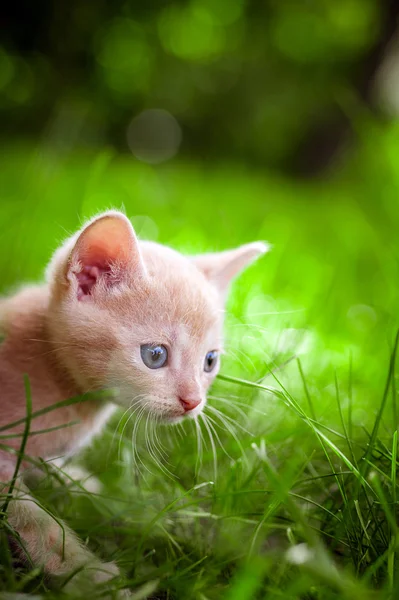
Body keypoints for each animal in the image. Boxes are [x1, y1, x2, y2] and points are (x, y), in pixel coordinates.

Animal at [0, 210, 268, 592]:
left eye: (210, 361)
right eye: (155, 355)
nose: (193, 401)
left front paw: (100, 493)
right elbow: (33, 519)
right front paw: (88, 575)